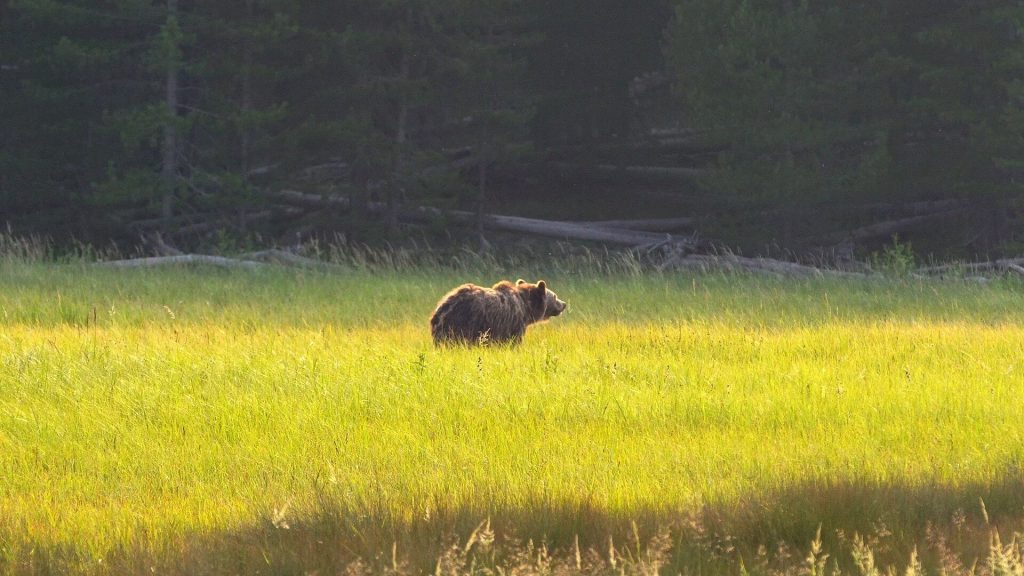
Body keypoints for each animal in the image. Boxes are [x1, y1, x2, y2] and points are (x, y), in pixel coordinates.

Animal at [430, 279, 567, 345]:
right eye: (555, 296)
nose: (564, 304)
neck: (527, 308)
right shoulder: (514, 323)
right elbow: (514, 342)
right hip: (463, 323)